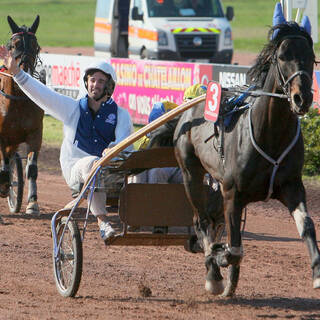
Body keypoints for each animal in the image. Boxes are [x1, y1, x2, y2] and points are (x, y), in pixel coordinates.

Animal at [174, 20, 320, 296]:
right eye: (283, 57)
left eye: (311, 57)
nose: (302, 98)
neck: (271, 135)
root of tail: (190, 106)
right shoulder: (232, 193)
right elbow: (234, 250)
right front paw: (220, 258)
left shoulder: (292, 186)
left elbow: (307, 225)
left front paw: (317, 273)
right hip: (190, 174)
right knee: (201, 221)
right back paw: (214, 274)